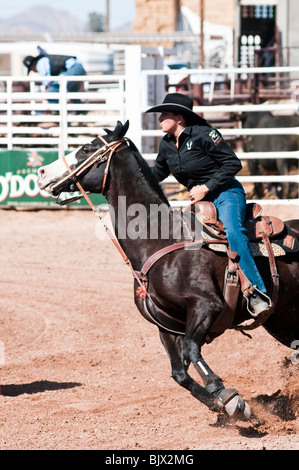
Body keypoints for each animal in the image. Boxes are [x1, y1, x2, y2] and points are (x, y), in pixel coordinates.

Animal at [37, 121, 299, 422]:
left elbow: (192, 351)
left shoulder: (206, 306)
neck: (159, 240)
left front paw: (229, 398)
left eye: (86, 148)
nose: (41, 172)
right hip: (281, 320)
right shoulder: (166, 327)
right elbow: (179, 373)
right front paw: (220, 405)